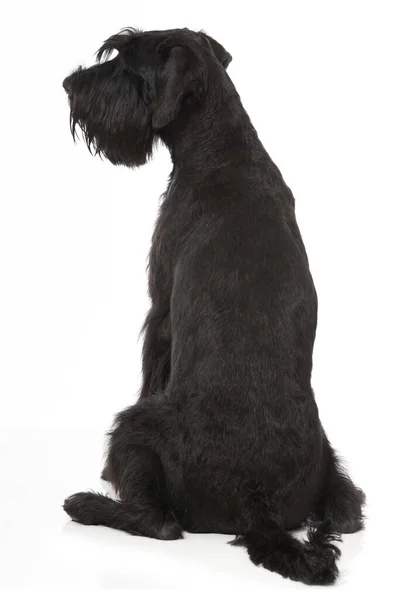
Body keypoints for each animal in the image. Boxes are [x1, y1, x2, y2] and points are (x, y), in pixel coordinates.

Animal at [62, 28, 366, 584]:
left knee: (159, 522)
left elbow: (152, 365)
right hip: (333, 467)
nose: (70, 85)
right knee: (349, 510)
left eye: (125, 62)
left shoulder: (160, 304)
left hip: (137, 426)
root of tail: (256, 501)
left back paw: (89, 503)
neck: (223, 148)